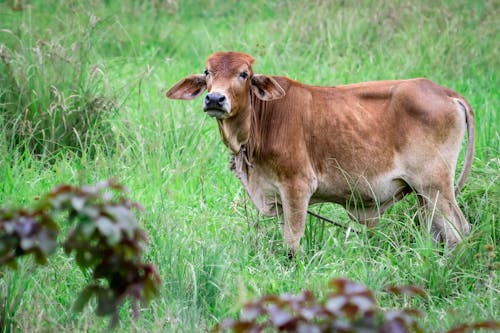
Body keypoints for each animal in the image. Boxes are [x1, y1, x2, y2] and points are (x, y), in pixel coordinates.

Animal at [166, 51, 474, 254]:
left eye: (244, 74)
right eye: (207, 72)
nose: (215, 98)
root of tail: (446, 93)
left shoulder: (297, 186)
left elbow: (292, 241)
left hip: (436, 186)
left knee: (459, 232)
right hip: (425, 194)